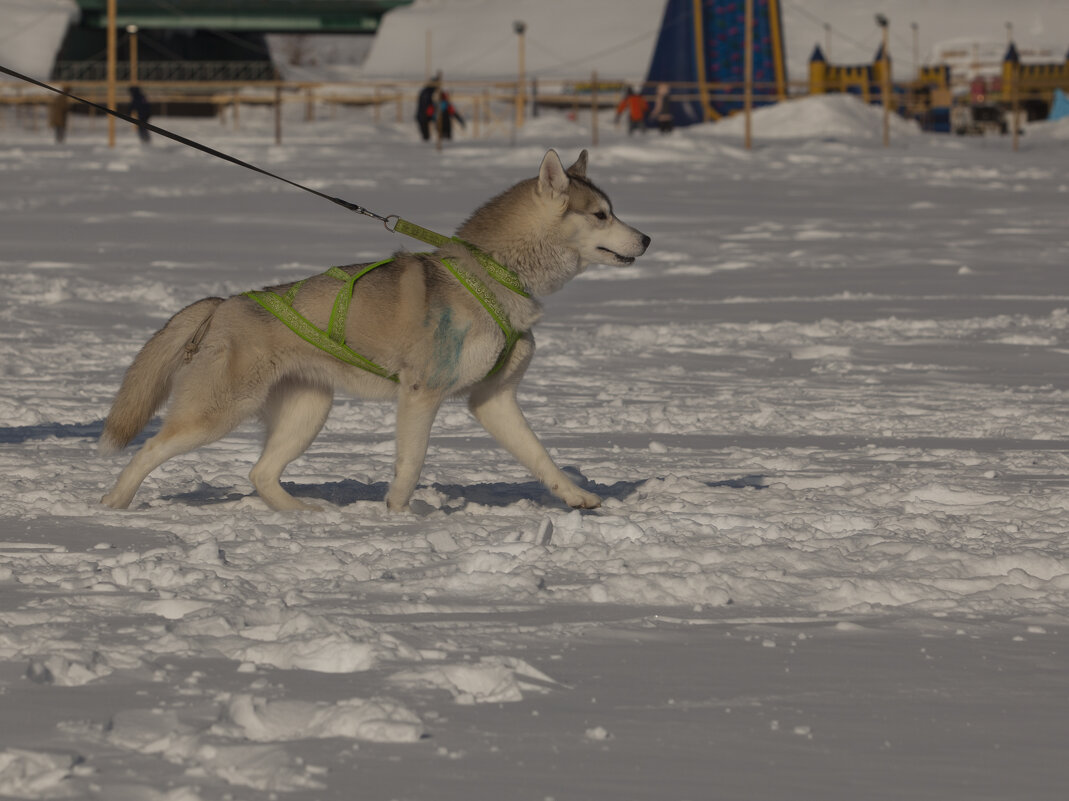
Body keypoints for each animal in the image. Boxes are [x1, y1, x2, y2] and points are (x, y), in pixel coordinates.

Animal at [100, 149, 649, 509]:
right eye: (602, 215)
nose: (646, 238)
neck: (494, 275)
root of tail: (223, 304)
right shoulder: (421, 393)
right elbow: (410, 465)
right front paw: (398, 516)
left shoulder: (492, 398)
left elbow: (540, 456)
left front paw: (576, 495)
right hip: (220, 411)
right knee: (151, 448)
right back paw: (115, 503)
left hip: (308, 410)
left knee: (260, 472)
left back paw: (303, 513)